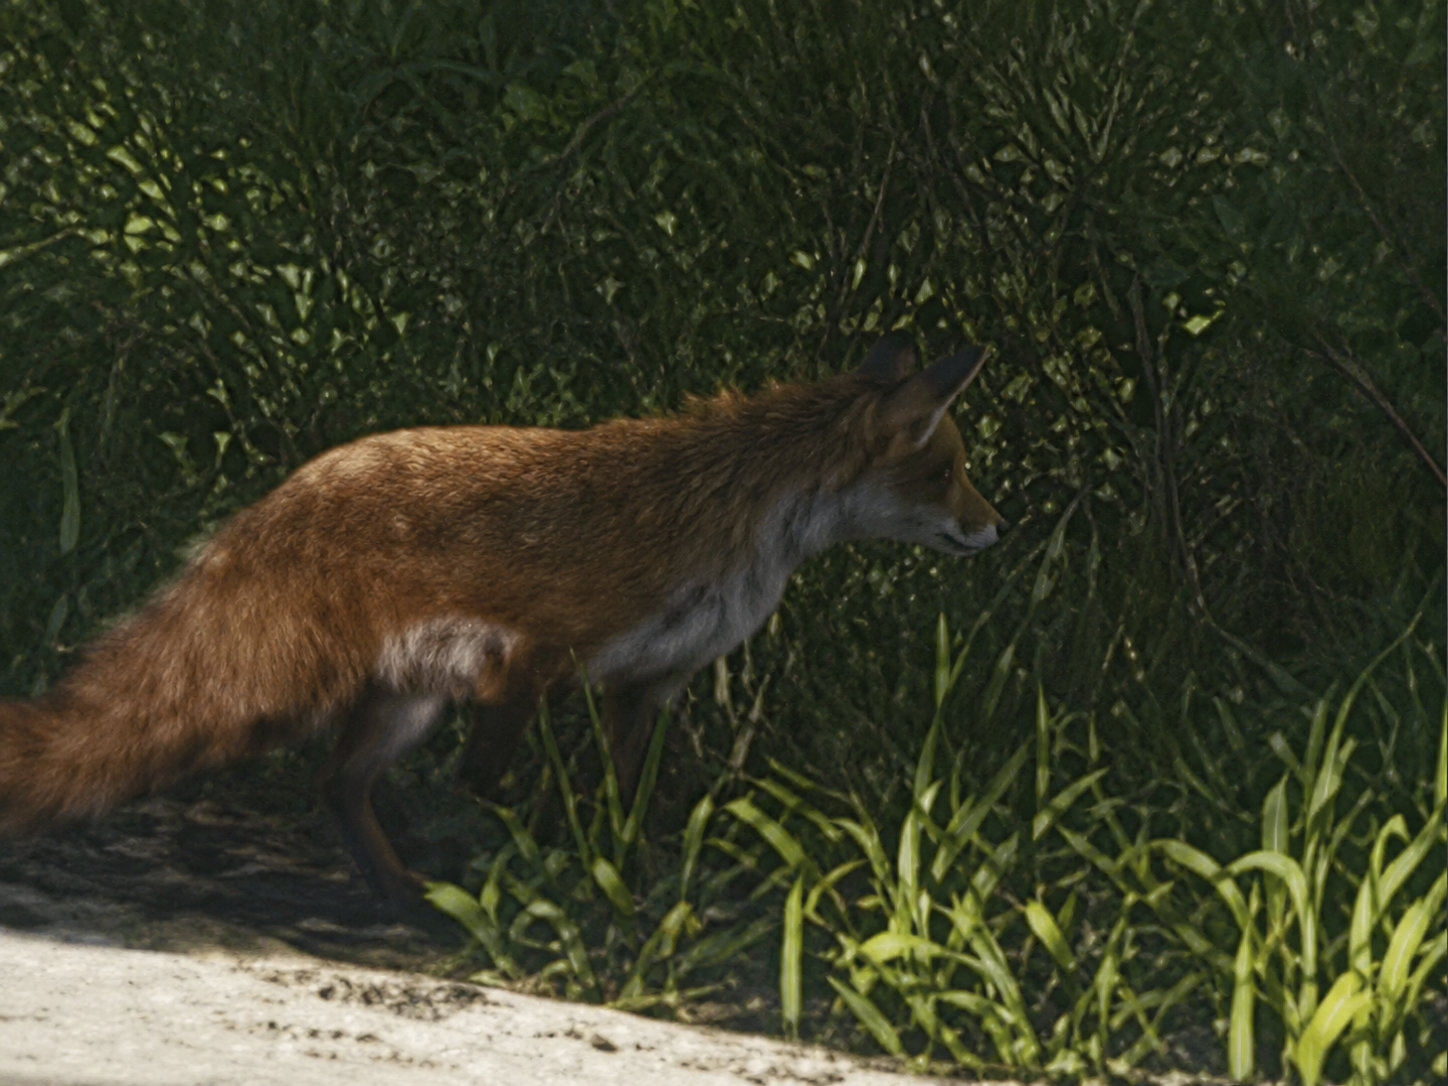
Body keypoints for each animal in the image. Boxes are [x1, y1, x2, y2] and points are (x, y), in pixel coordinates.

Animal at [0, 332, 1004, 903]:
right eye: (949, 471)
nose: (999, 528)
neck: (732, 526)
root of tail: (274, 501)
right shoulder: (529, 662)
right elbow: (486, 789)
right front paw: (519, 870)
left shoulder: (648, 685)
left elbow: (624, 801)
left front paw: (621, 881)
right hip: (273, 698)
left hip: (406, 705)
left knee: (337, 784)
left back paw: (400, 892)